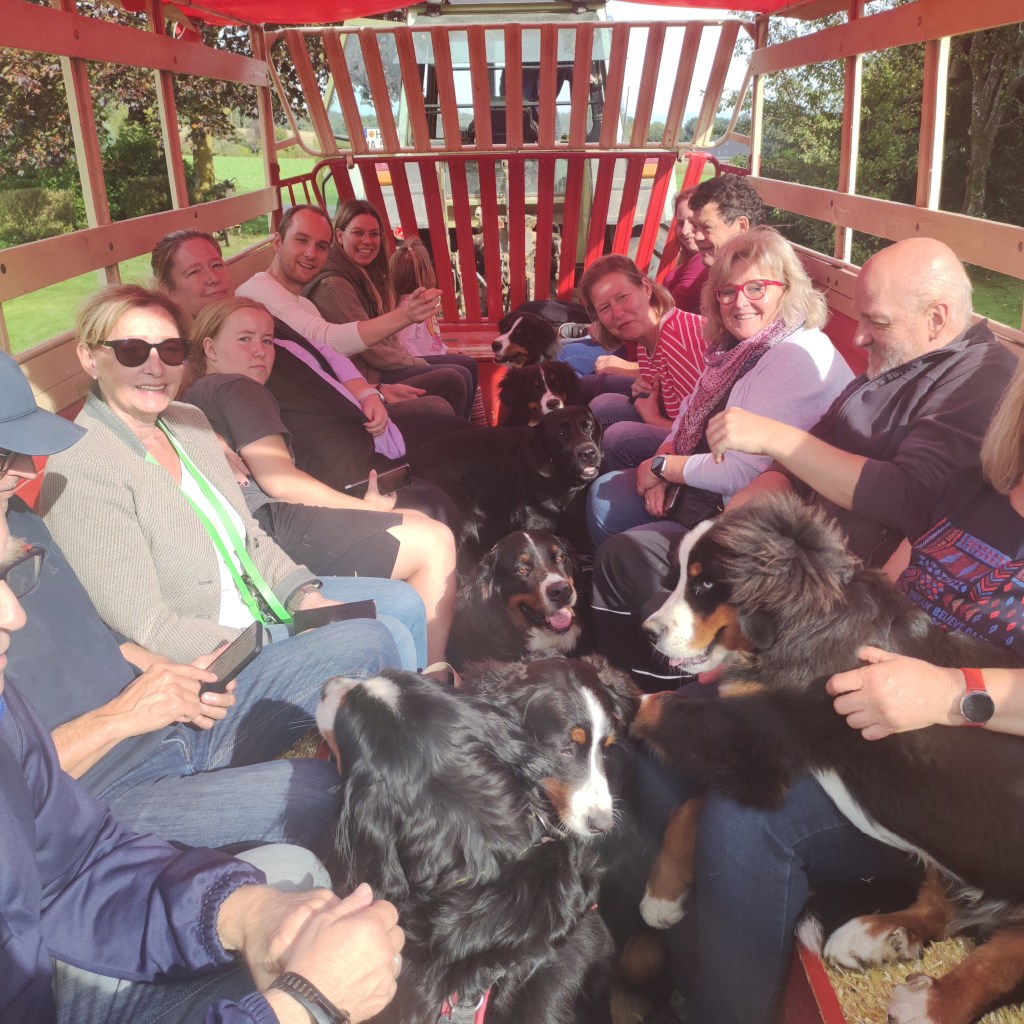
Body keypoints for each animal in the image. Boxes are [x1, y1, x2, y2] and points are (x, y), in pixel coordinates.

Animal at [630, 494, 1024, 1024]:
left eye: (705, 585)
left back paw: (931, 1001)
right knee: (941, 907)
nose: (648, 631)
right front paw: (664, 896)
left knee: (1003, 960)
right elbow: (690, 806)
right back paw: (878, 935)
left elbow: (656, 712)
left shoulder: (759, 742)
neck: (806, 625)